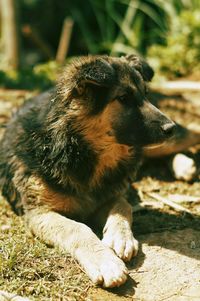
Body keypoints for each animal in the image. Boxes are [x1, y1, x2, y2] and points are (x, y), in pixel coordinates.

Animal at [0, 55, 199, 288]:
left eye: (145, 94)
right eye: (123, 97)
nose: (170, 127)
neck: (77, 149)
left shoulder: (111, 194)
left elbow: (123, 205)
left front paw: (120, 238)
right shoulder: (40, 213)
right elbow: (78, 229)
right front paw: (105, 261)